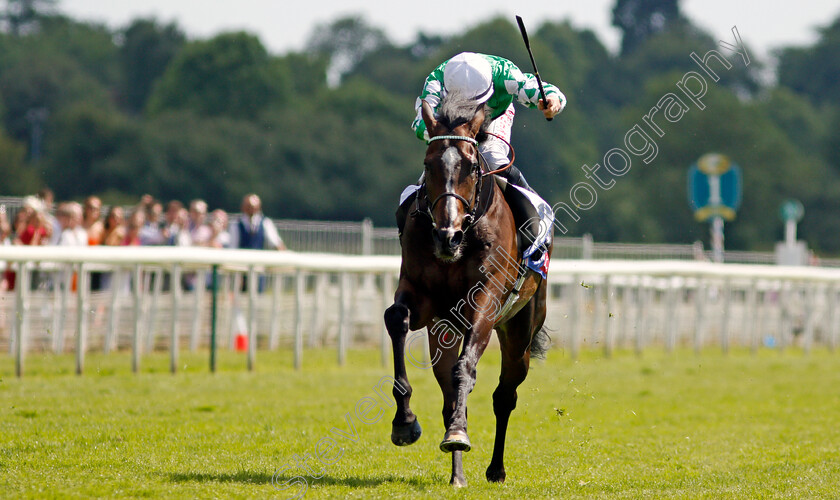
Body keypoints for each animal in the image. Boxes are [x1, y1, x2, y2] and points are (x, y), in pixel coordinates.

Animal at [386, 92, 556, 486]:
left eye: (471, 167)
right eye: (429, 163)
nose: (446, 236)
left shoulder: (486, 301)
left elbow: (466, 368)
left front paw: (459, 435)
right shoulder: (421, 296)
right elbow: (396, 318)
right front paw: (404, 422)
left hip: (520, 330)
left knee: (504, 395)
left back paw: (494, 467)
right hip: (444, 330)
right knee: (449, 395)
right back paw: (457, 474)